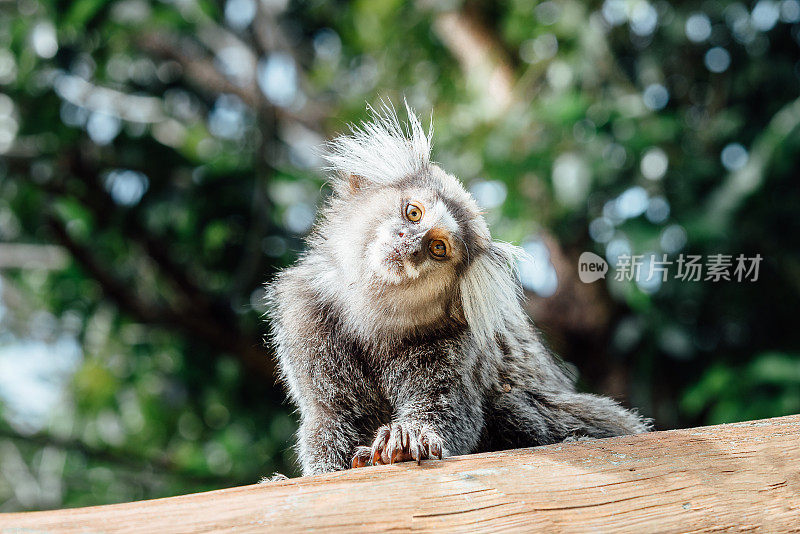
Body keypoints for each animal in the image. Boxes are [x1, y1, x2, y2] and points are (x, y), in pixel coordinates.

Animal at [268, 104, 648, 478]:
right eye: (413, 212)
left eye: (438, 248)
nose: (409, 244)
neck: (368, 318)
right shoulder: (306, 317)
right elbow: (331, 416)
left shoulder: (453, 344)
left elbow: (448, 412)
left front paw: (405, 439)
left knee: (512, 401)